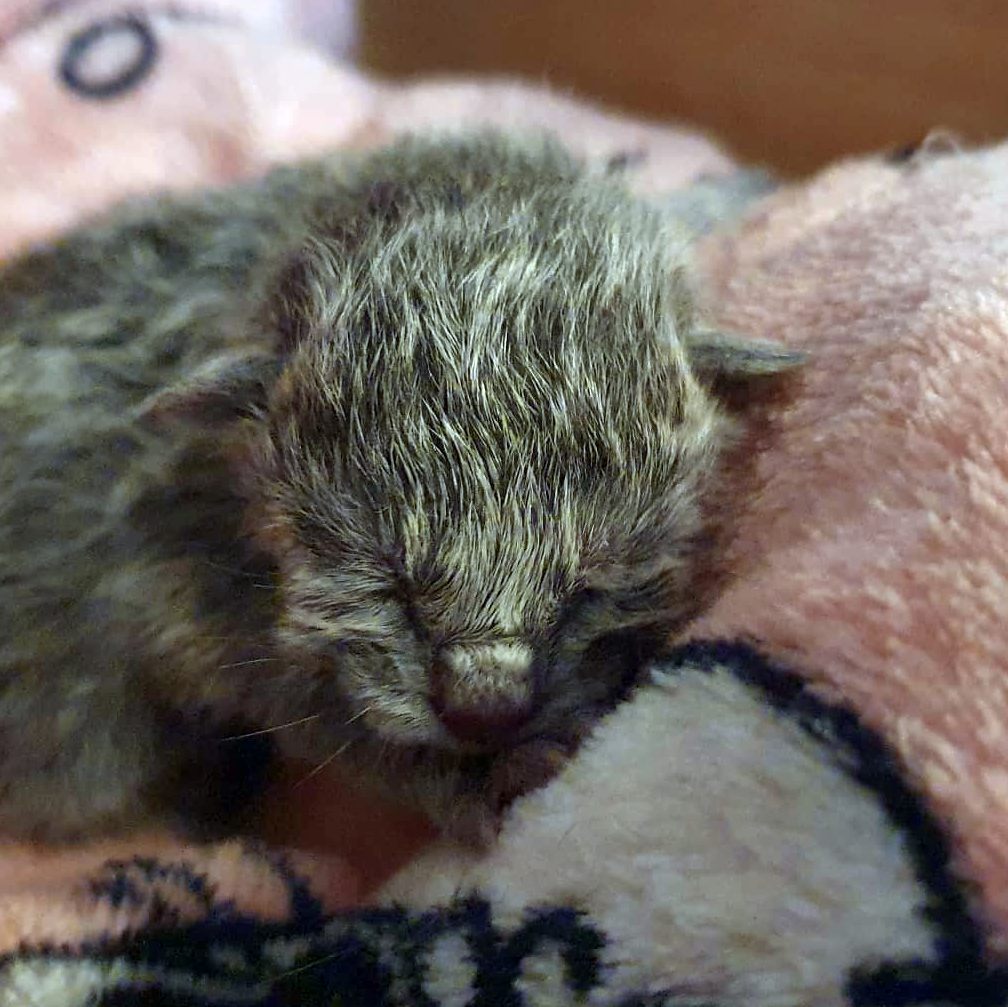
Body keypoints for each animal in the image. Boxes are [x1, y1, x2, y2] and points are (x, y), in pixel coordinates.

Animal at [0, 132, 802, 842]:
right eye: (388, 588)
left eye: (592, 588)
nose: (486, 709)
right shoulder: (186, 585)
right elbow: (330, 717)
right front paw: (480, 783)